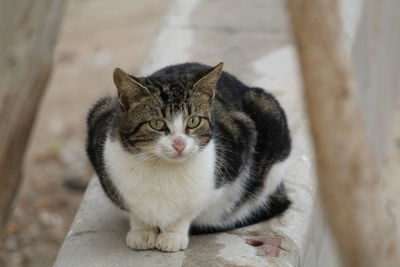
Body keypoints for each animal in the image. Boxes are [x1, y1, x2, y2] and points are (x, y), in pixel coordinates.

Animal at [86, 62, 290, 253]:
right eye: (157, 124)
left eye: (193, 121)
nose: (179, 144)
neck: (163, 169)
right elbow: (134, 211)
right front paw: (141, 231)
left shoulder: (232, 161)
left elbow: (190, 210)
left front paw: (173, 235)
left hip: (269, 114)